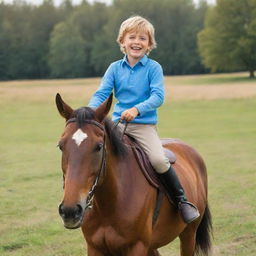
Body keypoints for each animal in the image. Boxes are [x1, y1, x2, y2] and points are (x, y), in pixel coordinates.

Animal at [55, 93, 212, 256]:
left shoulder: (137, 247)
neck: (111, 203)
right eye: (61, 146)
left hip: (189, 234)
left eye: (98, 146)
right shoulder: (94, 247)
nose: (70, 211)